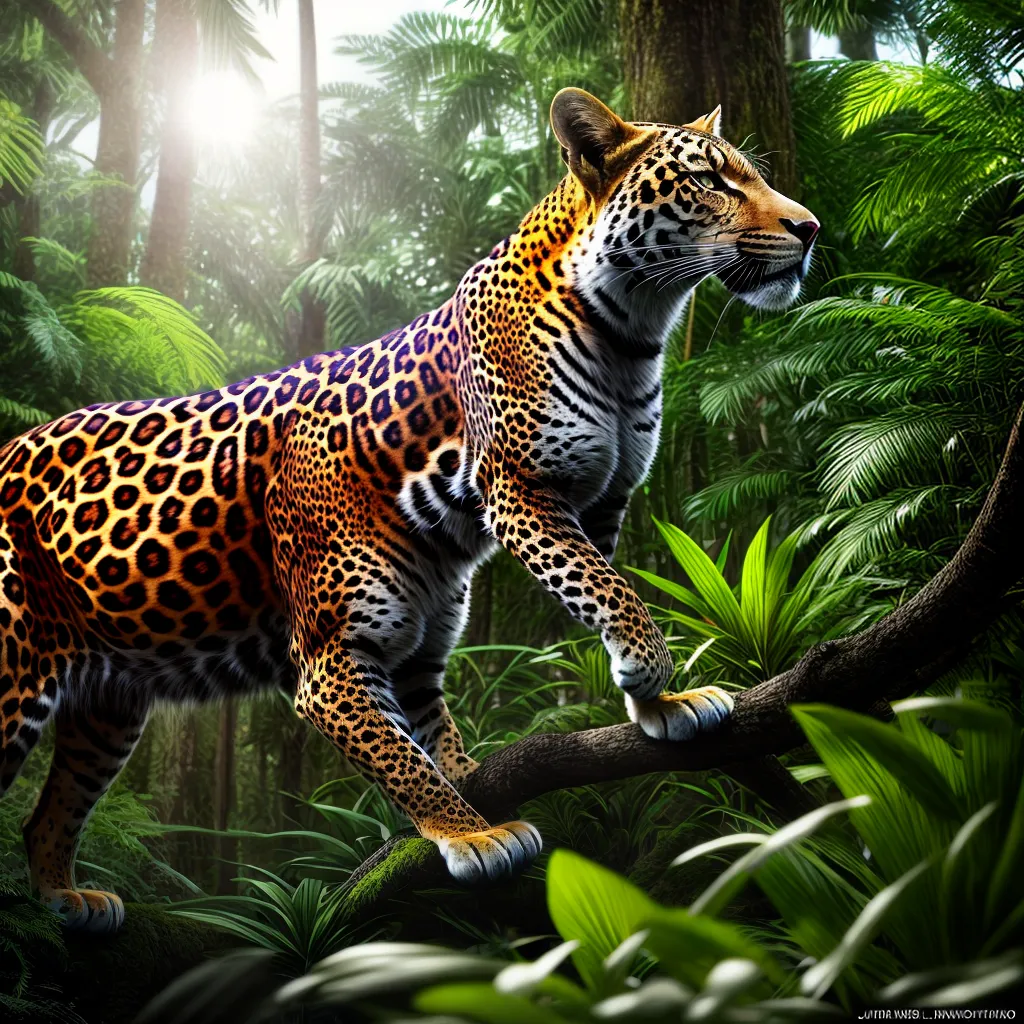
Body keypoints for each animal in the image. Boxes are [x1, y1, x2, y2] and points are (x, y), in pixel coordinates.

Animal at [0, 89, 818, 932]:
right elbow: (416, 749)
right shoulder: (468, 540)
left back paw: (66, 897)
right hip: (12, 679)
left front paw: (656, 703)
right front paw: (474, 832)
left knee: (46, 814)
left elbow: (577, 620)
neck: (630, 332)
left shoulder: (554, 541)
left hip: (108, 706)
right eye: (711, 180)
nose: (811, 228)